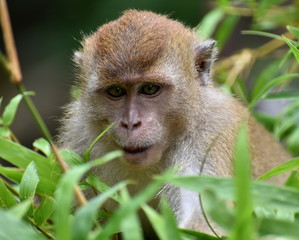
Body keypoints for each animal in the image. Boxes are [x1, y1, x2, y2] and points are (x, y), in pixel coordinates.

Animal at [58, 9, 290, 238]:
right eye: (116, 91)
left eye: (150, 89)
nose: (131, 123)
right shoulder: (80, 136)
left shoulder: (211, 133)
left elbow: (205, 219)